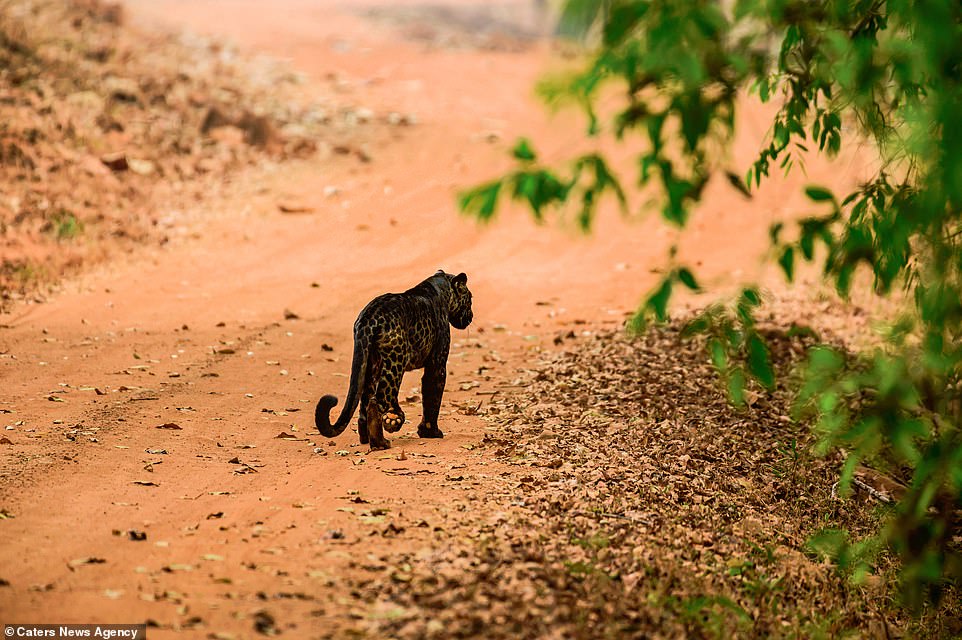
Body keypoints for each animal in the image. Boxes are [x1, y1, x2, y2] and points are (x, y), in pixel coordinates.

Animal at [316, 270, 472, 450]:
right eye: (470, 298)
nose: (471, 316)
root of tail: (368, 320)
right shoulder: (437, 363)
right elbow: (433, 395)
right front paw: (431, 432)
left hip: (370, 364)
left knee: (365, 402)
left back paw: (368, 438)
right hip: (395, 362)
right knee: (380, 399)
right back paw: (386, 432)